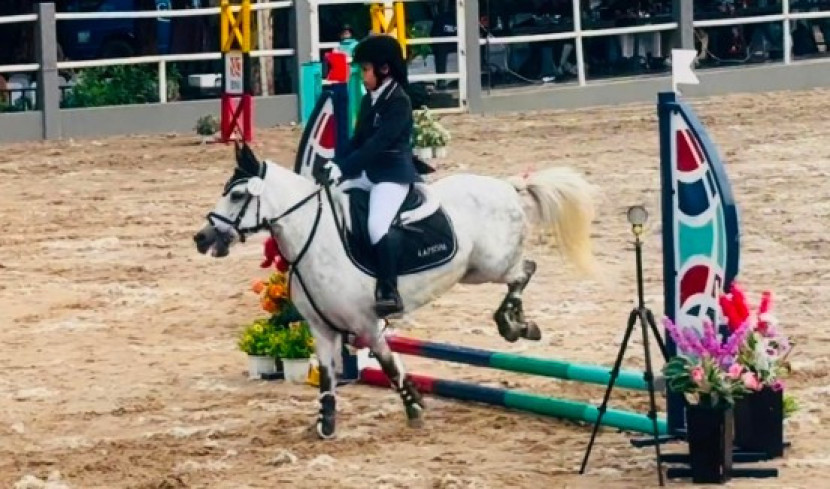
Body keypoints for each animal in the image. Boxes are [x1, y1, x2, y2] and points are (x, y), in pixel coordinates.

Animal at [195, 144, 600, 438]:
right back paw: (520, 323)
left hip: (492, 265)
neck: (314, 239)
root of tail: (507, 185)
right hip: (474, 271)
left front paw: (415, 408)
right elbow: (326, 376)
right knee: (523, 272)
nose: (202, 238)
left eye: (237, 195)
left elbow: (390, 367)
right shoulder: (321, 330)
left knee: (524, 272)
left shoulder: (366, 325)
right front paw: (325, 423)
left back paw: (515, 325)